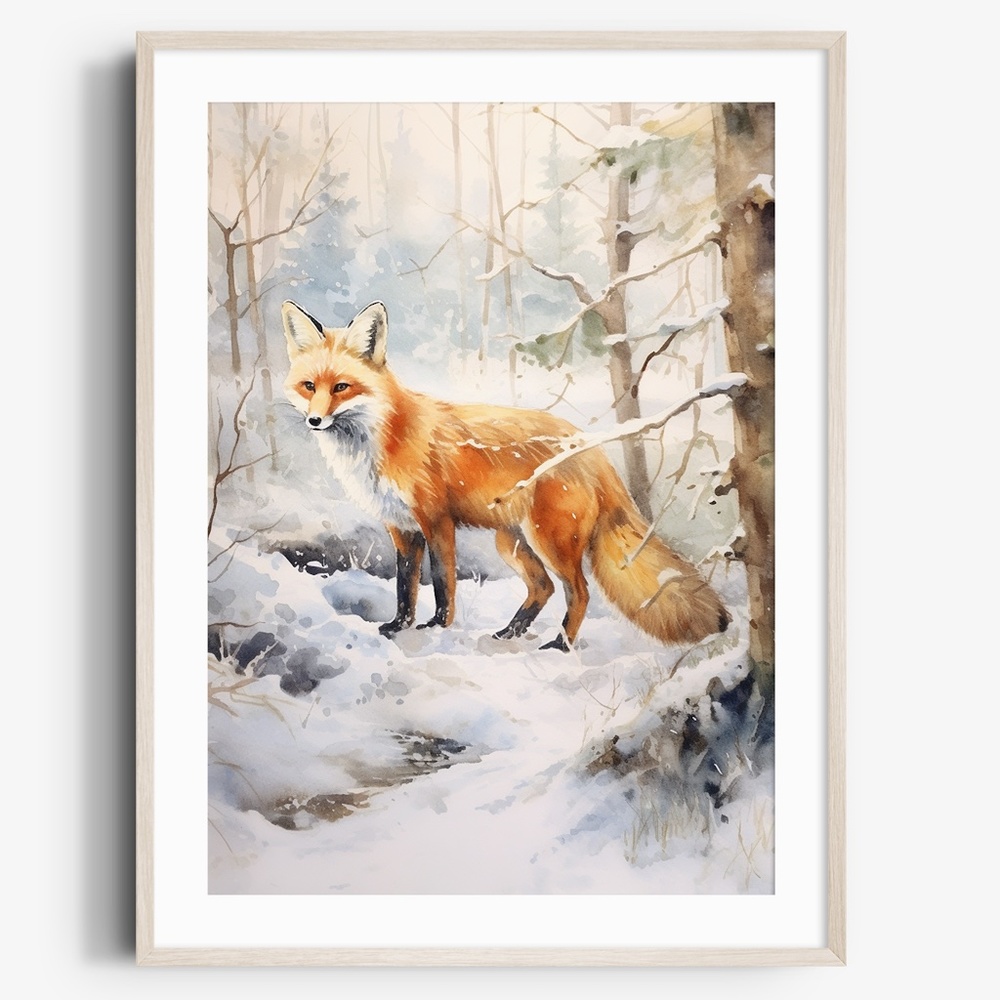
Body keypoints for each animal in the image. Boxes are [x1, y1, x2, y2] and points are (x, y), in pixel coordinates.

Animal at [281, 299, 730, 651]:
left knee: (579, 592)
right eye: (309, 386)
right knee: (543, 588)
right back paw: (510, 632)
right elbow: (404, 587)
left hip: (550, 540)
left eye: (342, 387)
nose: (315, 420)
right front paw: (398, 626)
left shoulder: (436, 520)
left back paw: (561, 646)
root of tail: (590, 447)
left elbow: (442, 582)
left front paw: (437, 627)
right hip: (510, 542)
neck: (382, 439)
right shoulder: (401, 526)